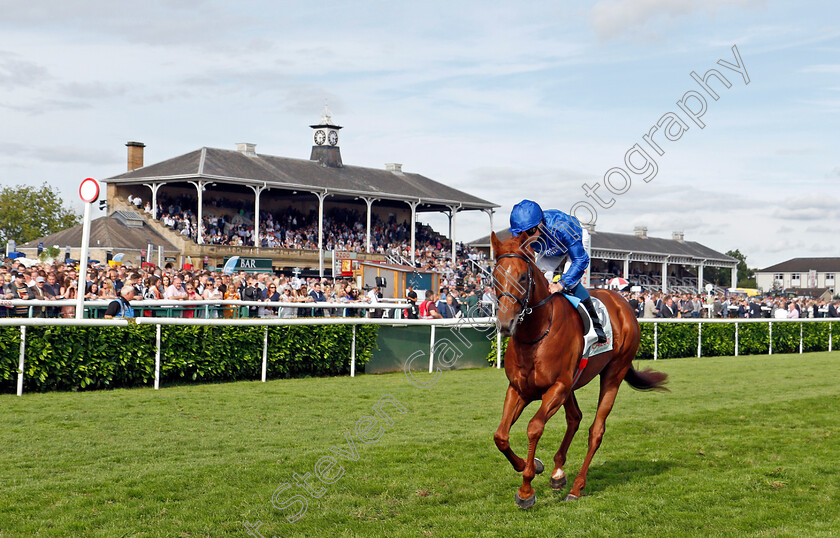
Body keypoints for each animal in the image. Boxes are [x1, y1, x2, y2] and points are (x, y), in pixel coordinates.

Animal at [488, 230, 668, 506]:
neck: (536, 334)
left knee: (596, 430)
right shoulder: (519, 388)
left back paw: (576, 487)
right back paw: (558, 473)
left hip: (613, 373)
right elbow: (500, 436)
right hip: (572, 383)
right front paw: (532, 466)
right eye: (495, 276)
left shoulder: (557, 387)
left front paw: (526, 490)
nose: (506, 323)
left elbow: (534, 428)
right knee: (575, 418)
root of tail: (622, 301)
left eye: (522, 276)